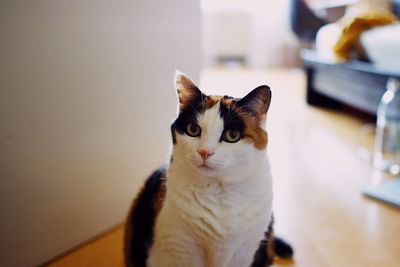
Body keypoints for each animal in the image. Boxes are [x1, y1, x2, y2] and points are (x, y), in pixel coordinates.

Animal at [125, 72, 294, 266]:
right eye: (193, 129)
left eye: (232, 135)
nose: (205, 152)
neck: (219, 192)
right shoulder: (177, 249)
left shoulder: (244, 253)